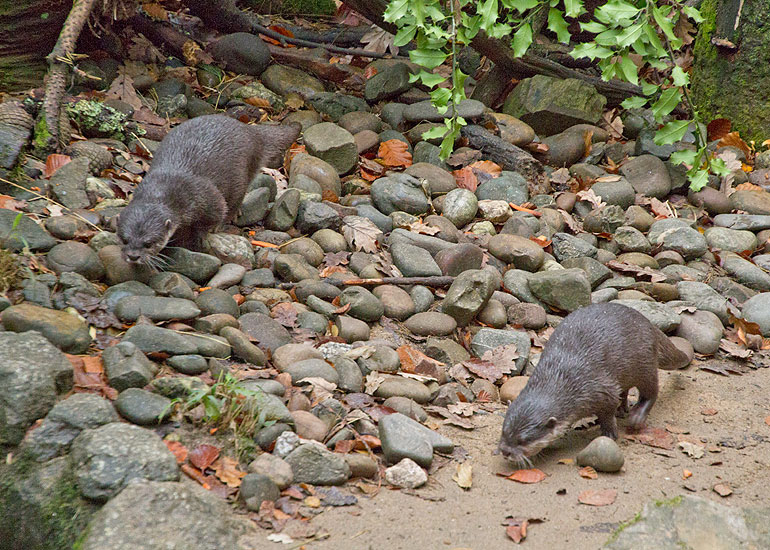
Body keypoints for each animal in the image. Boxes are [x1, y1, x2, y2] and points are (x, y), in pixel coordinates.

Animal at [117, 114, 301, 265]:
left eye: (148, 243)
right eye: (124, 240)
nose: (133, 256)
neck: (165, 187)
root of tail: (251, 132)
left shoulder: (207, 198)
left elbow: (215, 215)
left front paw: (204, 235)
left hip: (243, 174)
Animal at [497, 303, 689, 466]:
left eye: (523, 440)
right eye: (504, 432)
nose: (505, 451)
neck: (564, 379)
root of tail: (649, 324)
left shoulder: (601, 390)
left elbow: (607, 414)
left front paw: (609, 434)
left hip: (645, 364)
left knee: (651, 391)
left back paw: (636, 416)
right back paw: (622, 409)